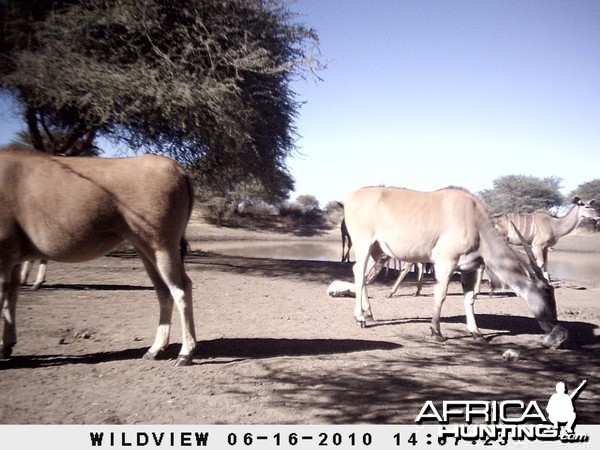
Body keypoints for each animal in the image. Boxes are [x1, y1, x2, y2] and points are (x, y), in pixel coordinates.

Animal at [0, 144, 197, 366]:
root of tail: (180, 170)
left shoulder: (4, 256)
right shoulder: (12, 260)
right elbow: (11, 295)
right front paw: (6, 346)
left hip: (162, 247)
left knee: (181, 288)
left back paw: (185, 354)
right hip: (146, 250)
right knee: (164, 291)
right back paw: (155, 349)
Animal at [344, 186, 568, 348]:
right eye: (546, 291)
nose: (556, 329)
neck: (474, 220)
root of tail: (351, 197)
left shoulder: (469, 269)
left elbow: (470, 299)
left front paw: (476, 333)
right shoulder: (446, 263)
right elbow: (441, 295)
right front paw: (436, 332)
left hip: (378, 251)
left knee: (362, 274)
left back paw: (368, 314)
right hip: (365, 245)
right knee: (359, 272)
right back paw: (360, 318)